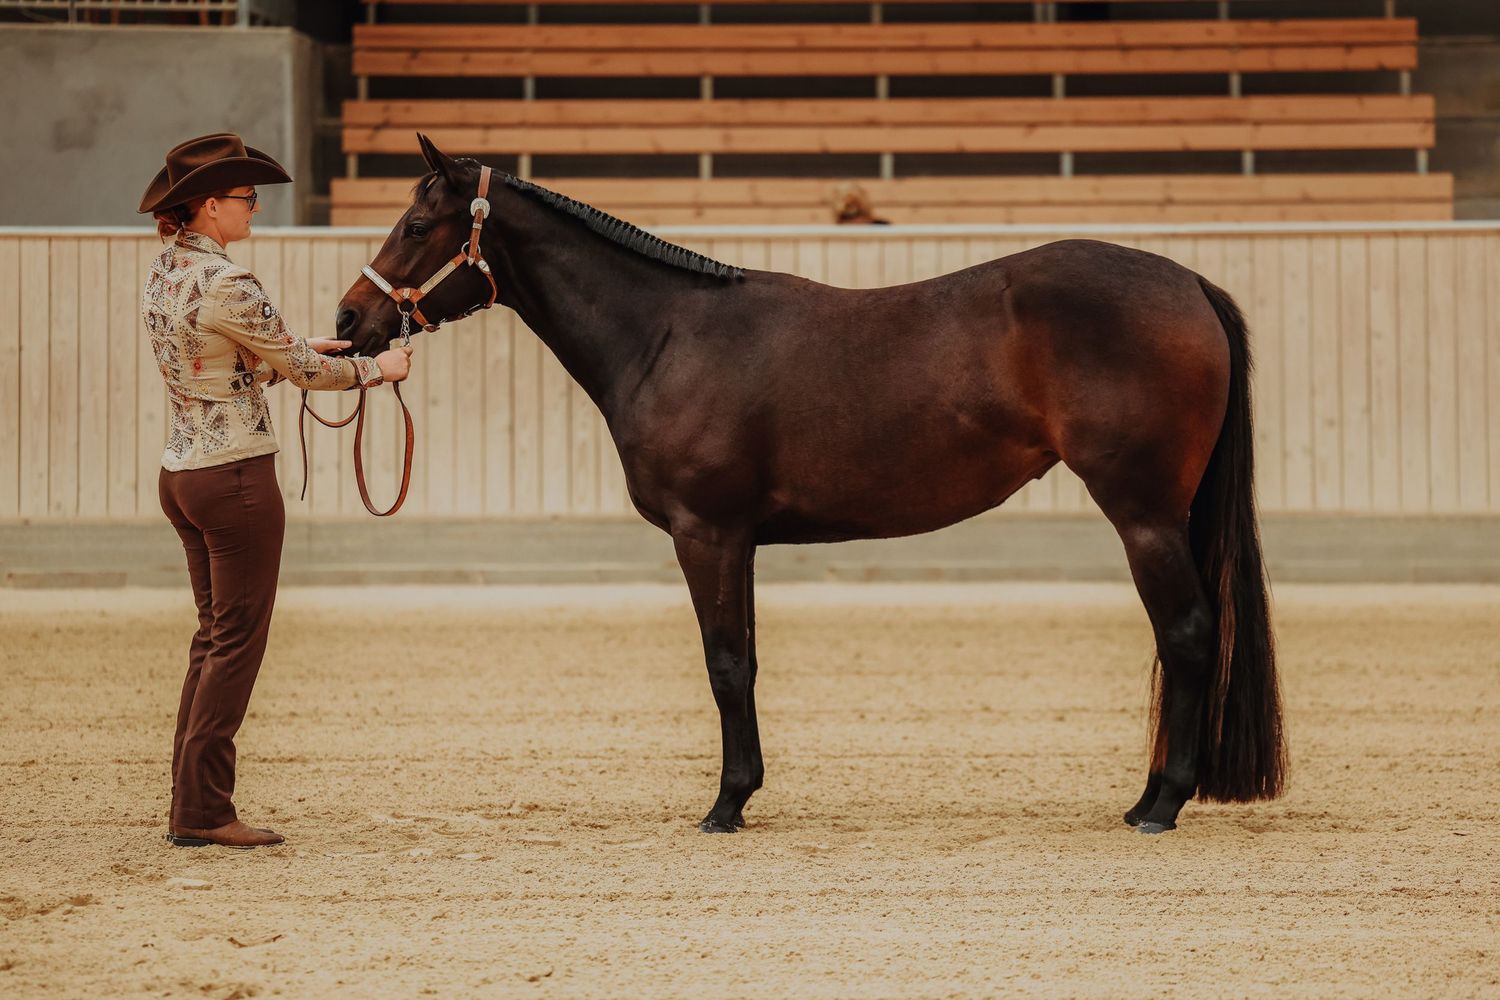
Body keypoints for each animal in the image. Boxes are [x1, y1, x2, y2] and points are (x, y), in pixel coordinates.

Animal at [335, 134, 1286, 835]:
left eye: (416, 224)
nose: (350, 319)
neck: (667, 335)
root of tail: (1188, 282)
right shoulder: (738, 540)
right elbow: (745, 661)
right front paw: (742, 792)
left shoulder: (707, 532)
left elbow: (725, 664)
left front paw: (725, 806)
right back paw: (1147, 798)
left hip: (1145, 514)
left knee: (1189, 633)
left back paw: (1161, 805)